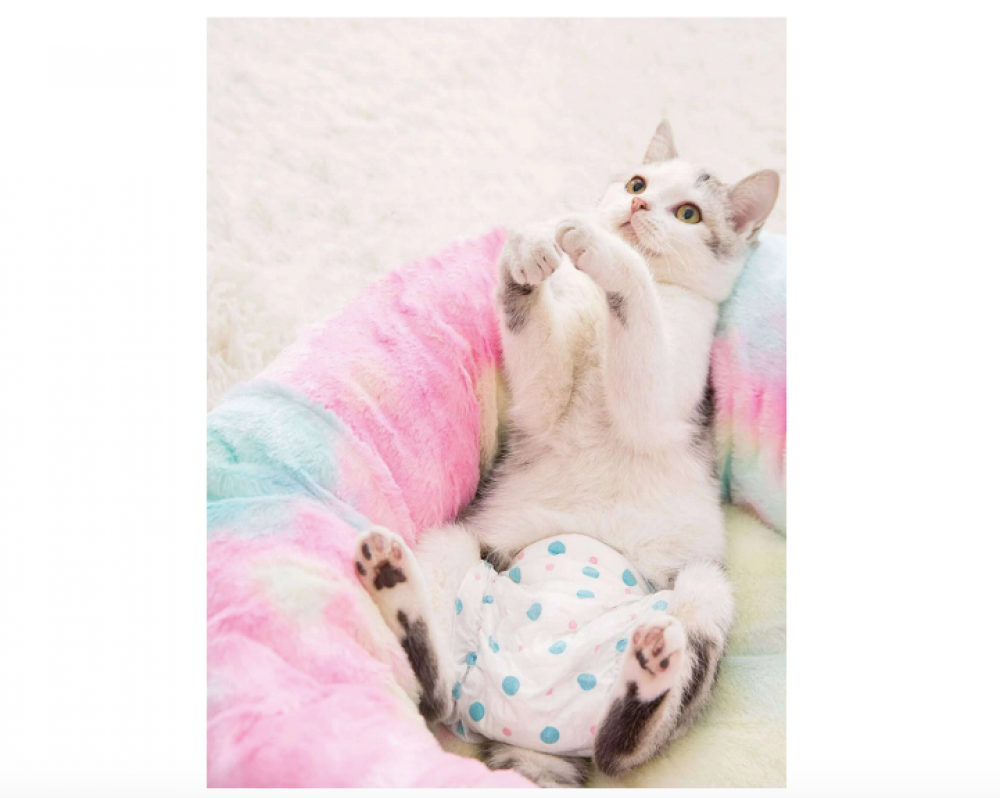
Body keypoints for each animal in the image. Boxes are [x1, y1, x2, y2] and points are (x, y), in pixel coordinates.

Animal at [353, 119, 780, 787]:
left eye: (688, 213)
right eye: (638, 183)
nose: (636, 207)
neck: (599, 310)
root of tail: (533, 732)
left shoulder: (665, 394)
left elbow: (642, 350)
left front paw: (610, 255)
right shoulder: (541, 405)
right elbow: (541, 374)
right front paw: (524, 258)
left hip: (704, 588)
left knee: (619, 749)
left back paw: (650, 671)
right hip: (456, 545)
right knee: (438, 695)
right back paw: (397, 585)